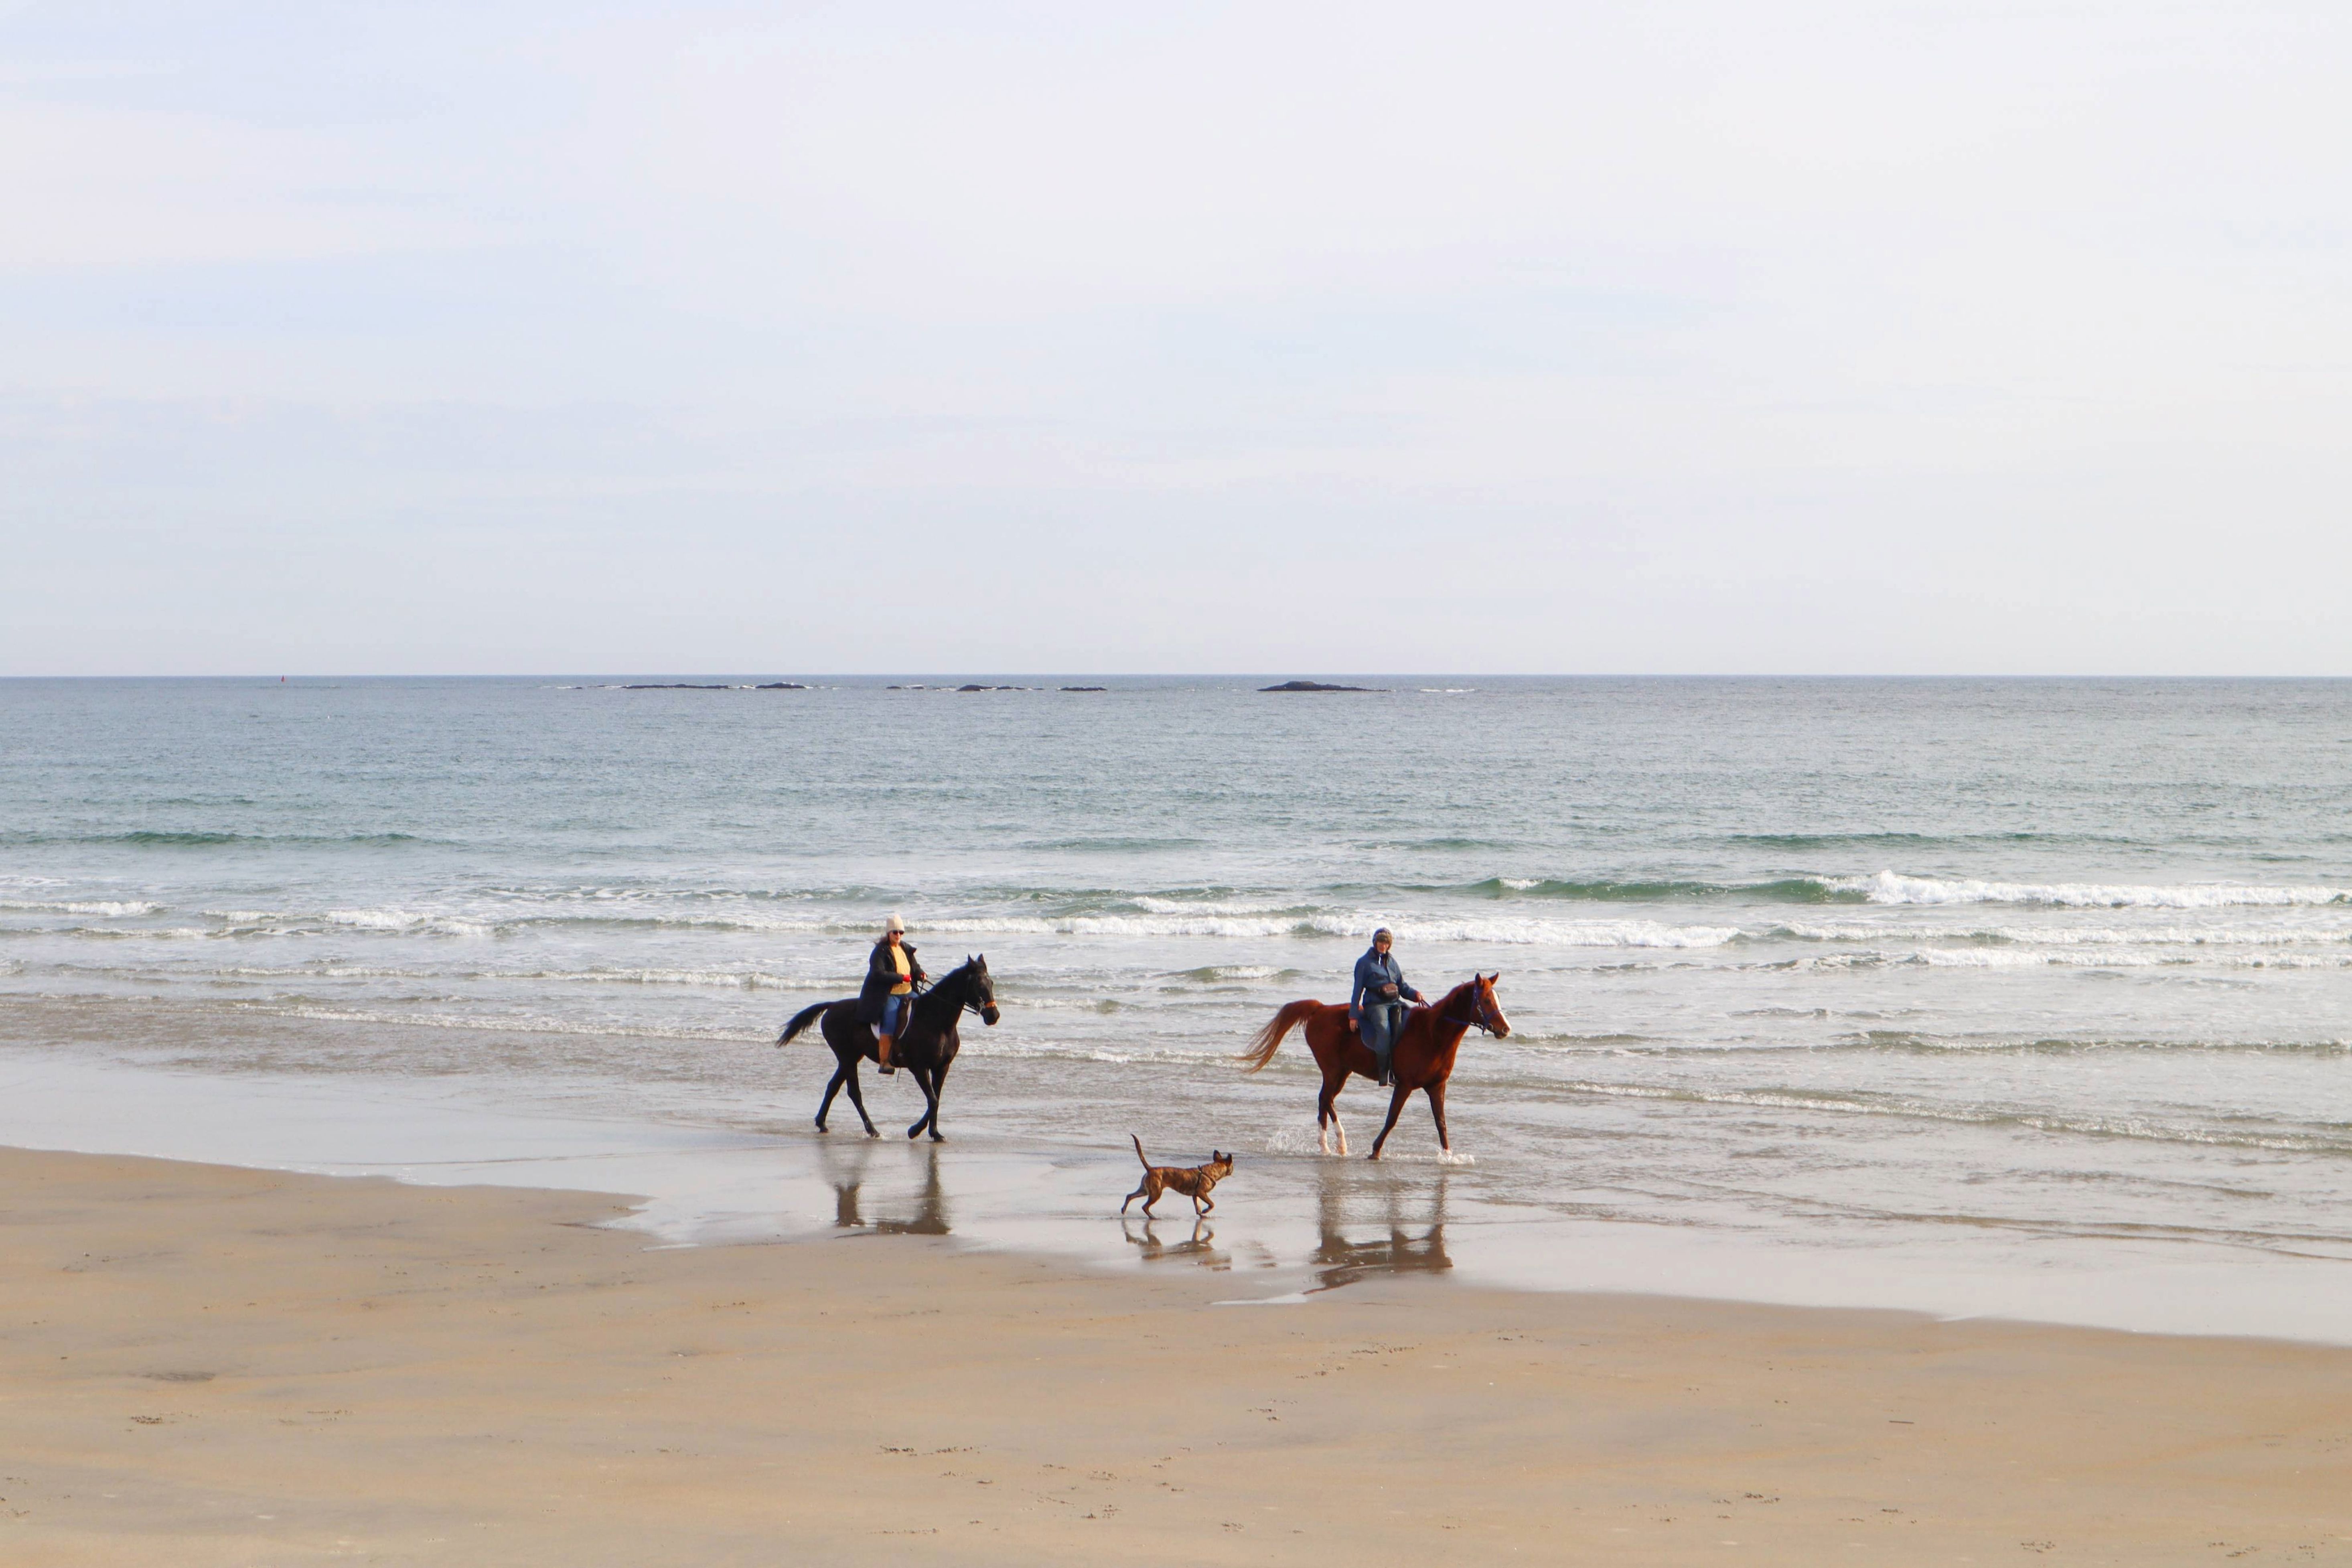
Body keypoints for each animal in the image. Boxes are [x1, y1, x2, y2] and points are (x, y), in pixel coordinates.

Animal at [776, 955, 999, 1141]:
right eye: (979, 984)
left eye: (991, 983)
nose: (994, 1016)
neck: (936, 1021)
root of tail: (832, 1006)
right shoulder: (919, 1068)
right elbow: (933, 1100)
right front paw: (914, 1131)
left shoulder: (942, 1067)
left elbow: (935, 1099)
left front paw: (935, 1133)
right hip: (847, 1058)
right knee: (854, 1092)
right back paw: (872, 1130)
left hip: (851, 1057)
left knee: (833, 1087)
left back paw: (822, 1123)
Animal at [1237, 972, 1509, 1159]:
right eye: (1486, 1000)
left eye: (1497, 998)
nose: (1505, 1029)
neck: (1433, 1034)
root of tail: (1320, 1009)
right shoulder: (1405, 1085)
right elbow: (1392, 1119)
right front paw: (1376, 1151)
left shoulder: (1436, 1087)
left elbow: (1441, 1122)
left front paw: (1448, 1155)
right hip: (1332, 1070)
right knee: (1325, 1099)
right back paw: (1330, 1145)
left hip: (1342, 1072)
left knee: (1327, 1100)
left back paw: (1336, 1145)